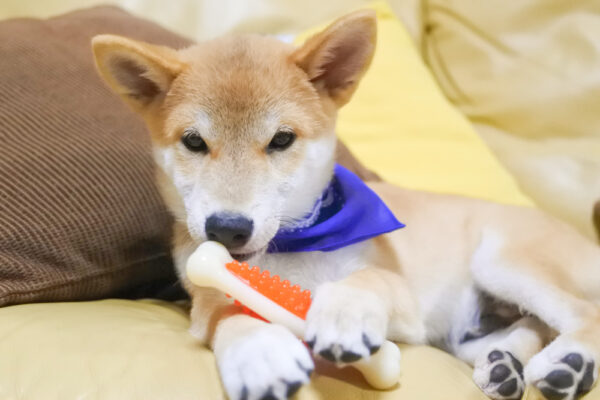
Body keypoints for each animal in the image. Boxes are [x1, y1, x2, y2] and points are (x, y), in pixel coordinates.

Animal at [91, 9, 596, 400]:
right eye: (194, 142)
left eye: (281, 140)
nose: (227, 228)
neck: (292, 249)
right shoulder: (206, 288)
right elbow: (227, 312)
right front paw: (260, 351)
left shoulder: (401, 295)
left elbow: (365, 280)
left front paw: (343, 315)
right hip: (465, 331)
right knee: (533, 327)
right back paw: (505, 366)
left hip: (502, 262)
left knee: (583, 314)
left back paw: (569, 362)